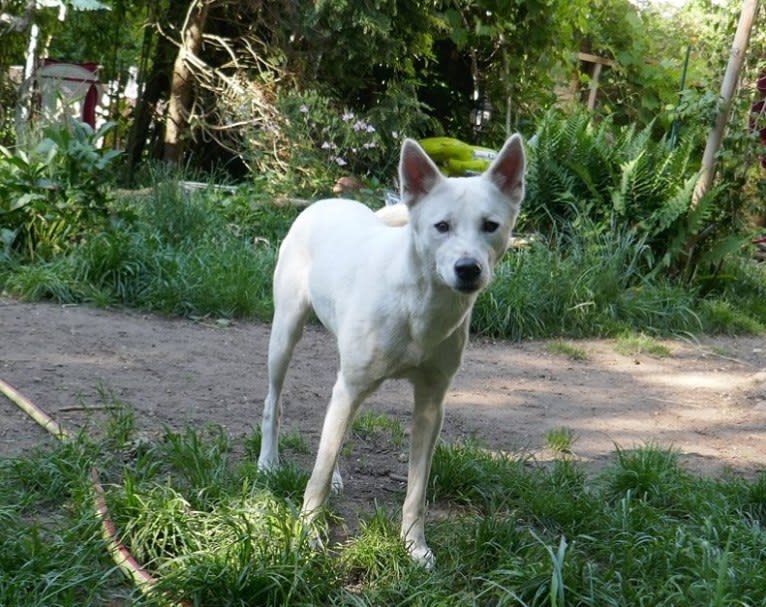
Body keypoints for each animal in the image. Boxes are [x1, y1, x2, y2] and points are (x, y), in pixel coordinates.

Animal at [258, 134, 528, 568]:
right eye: (441, 226)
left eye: (491, 226)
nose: (468, 268)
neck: (419, 302)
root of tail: (325, 201)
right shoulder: (350, 386)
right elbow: (316, 477)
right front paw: (308, 533)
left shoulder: (431, 404)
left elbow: (416, 488)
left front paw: (414, 546)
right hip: (285, 335)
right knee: (274, 402)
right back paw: (268, 462)